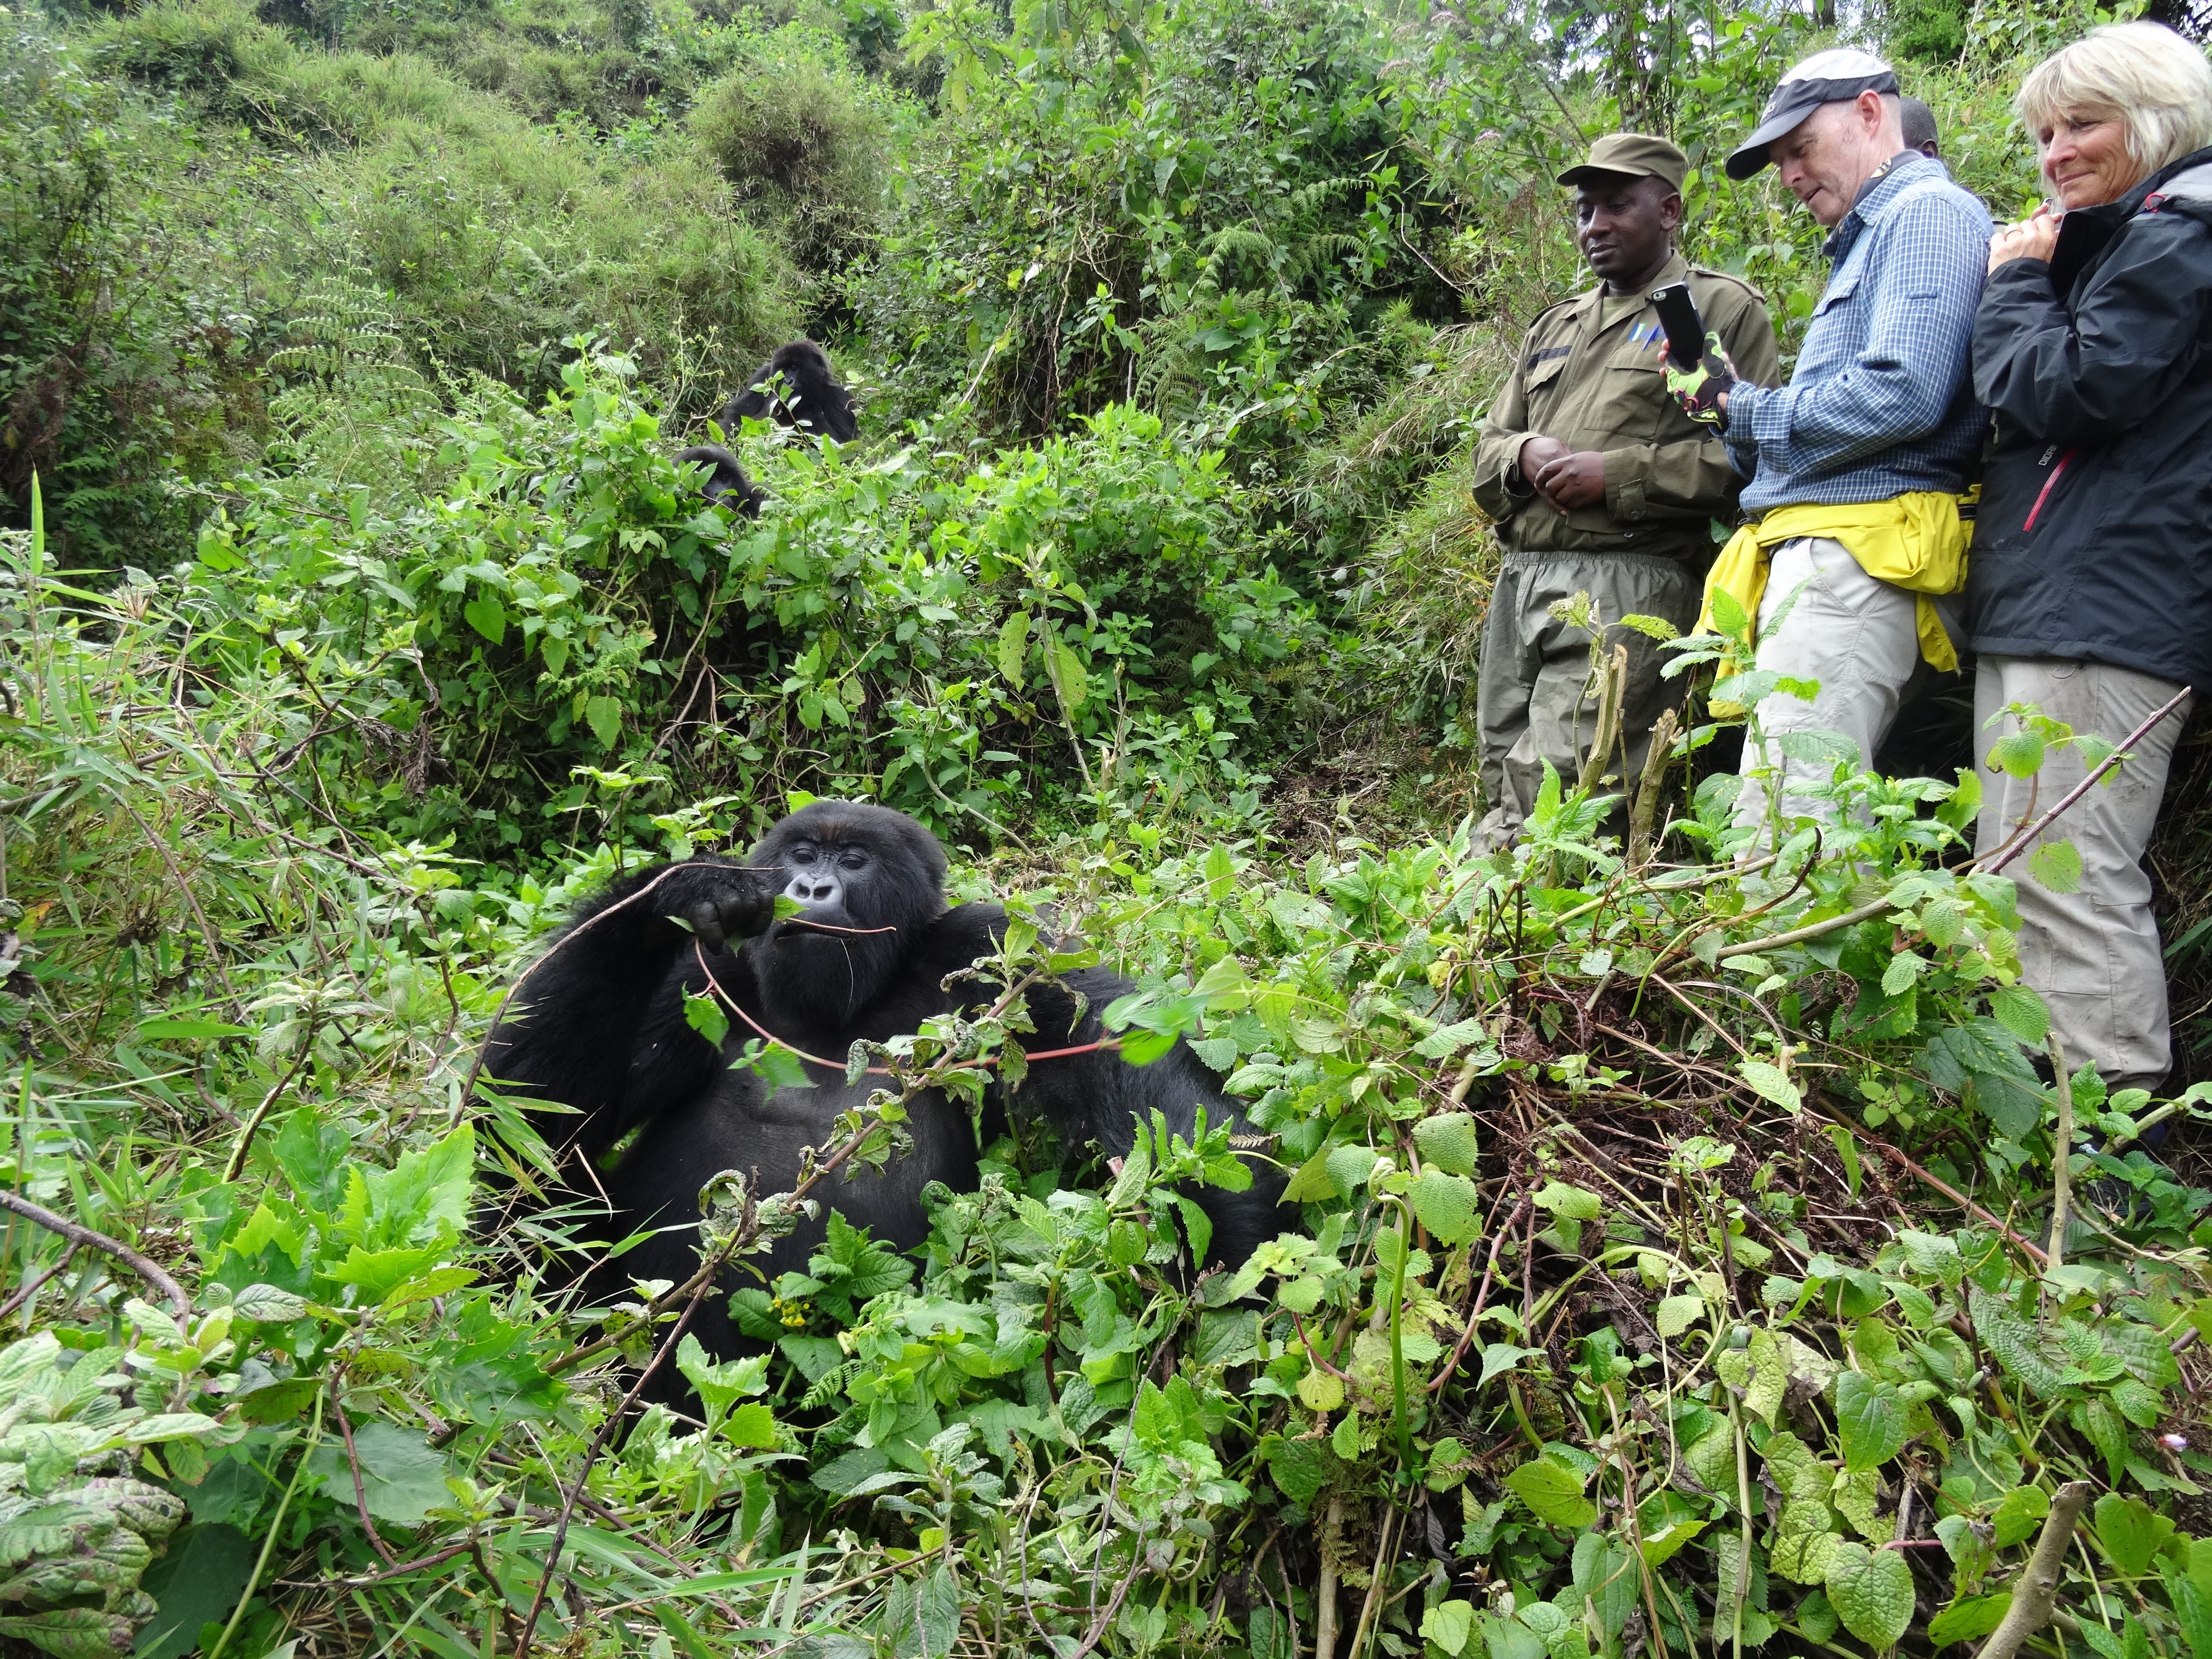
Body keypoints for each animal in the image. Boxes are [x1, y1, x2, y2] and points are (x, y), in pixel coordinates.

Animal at [484, 800, 1283, 1362]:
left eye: (854, 859)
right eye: (803, 853)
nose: (811, 886)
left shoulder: (996, 946)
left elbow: (1124, 1058)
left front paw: (1232, 1257)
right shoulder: (705, 978)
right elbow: (538, 1128)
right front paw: (671, 894)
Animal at [725, 341, 862, 444]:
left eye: (794, 368)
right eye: (783, 371)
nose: (788, 381)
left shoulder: (840, 397)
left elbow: (841, 442)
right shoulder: (761, 376)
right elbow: (737, 415)